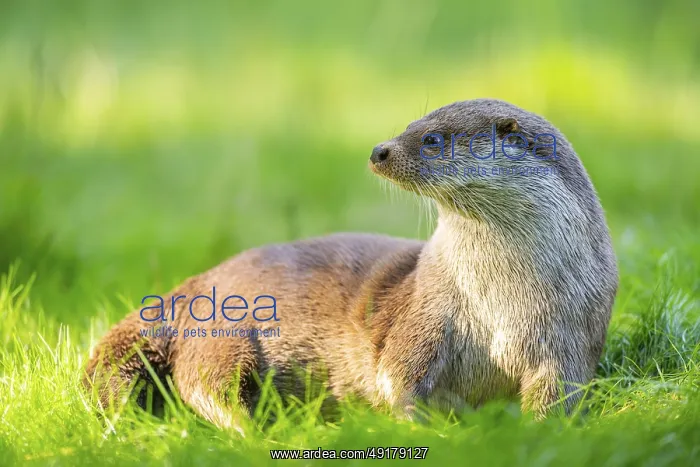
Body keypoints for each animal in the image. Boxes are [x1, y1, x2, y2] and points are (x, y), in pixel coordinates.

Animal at [83, 99, 618, 428]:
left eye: (432, 139)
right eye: (408, 125)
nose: (380, 150)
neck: (500, 302)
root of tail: (193, 285)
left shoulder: (571, 335)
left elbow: (556, 399)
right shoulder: (426, 314)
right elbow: (398, 378)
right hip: (223, 334)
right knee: (209, 389)